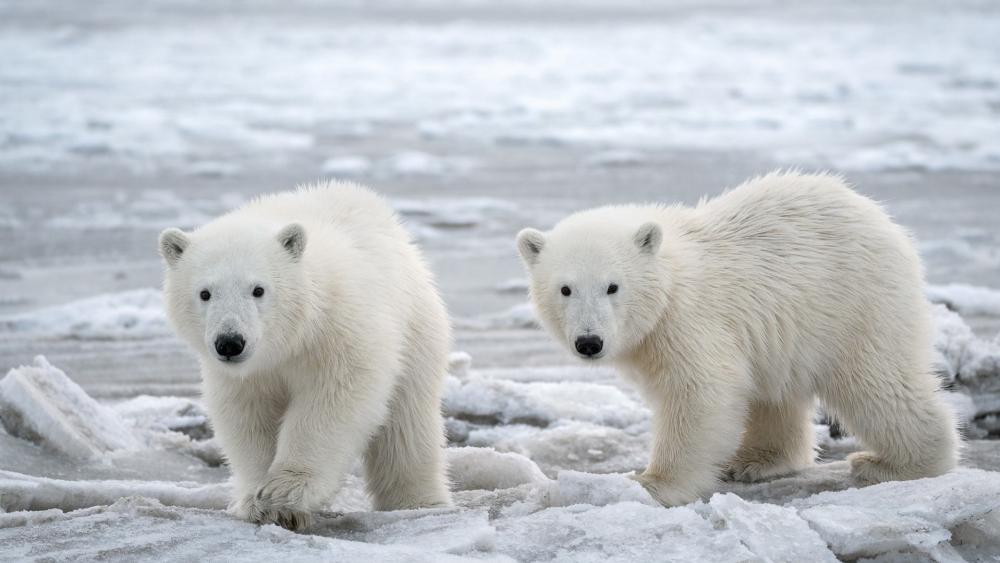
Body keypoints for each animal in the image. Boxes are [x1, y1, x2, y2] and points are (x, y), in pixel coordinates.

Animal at [159, 181, 452, 529]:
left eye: (258, 289)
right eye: (205, 293)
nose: (230, 342)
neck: (289, 341)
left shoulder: (338, 333)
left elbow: (334, 401)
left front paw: (286, 491)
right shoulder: (245, 375)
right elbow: (247, 415)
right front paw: (258, 500)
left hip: (415, 328)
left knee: (406, 426)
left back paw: (418, 501)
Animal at [515, 171, 959, 507]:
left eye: (613, 286)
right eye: (565, 289)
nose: (589, 342)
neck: (670, 281)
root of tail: (882, 219)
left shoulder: (690, 323)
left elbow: (700, 395)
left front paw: (651, 483)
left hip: (853, 304)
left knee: (877, 383)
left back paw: (896, 464)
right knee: (776, 393)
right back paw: (755, 461)